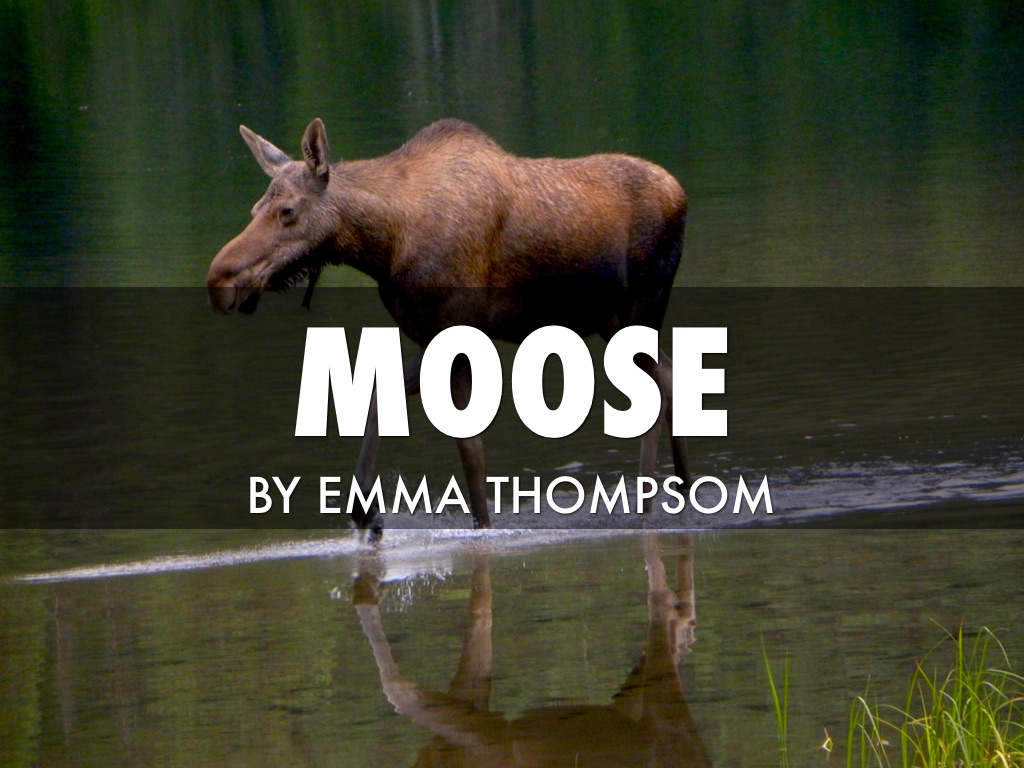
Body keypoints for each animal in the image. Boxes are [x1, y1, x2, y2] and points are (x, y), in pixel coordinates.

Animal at [207, 118, 691, 531]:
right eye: (255, 208)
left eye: (287, 210)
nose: (220, 280)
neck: (383, 245)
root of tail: (681, 195)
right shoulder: (429, 334)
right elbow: (381, 395)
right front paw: (365, 512)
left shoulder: (460, 331)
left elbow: (469, 448)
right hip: (612, 321)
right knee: (667, 376)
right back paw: (677, 493)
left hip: (641, 309)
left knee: (660, 384)